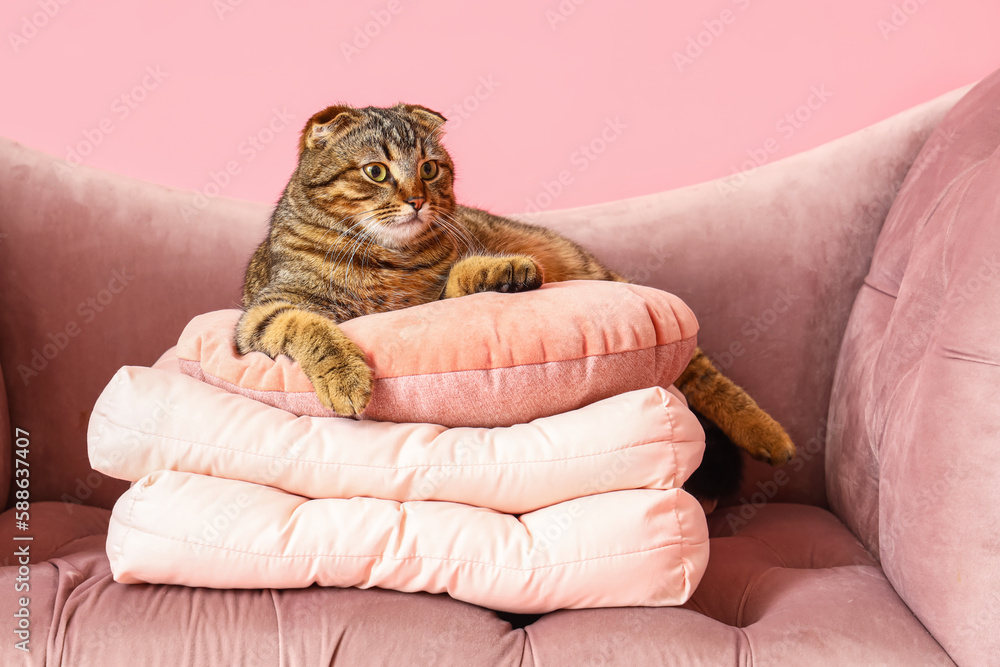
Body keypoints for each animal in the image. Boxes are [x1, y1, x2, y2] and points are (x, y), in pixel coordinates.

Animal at [238, 102, 792, 472]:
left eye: (429, 169)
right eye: (376, 171)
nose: (418, 200)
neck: (388, 261)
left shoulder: (434, 293)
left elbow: (460, 276)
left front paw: (502, 271)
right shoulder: (263, 315)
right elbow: (313, 329)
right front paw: (347, 379)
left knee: (703, 370)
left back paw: (770, 434)